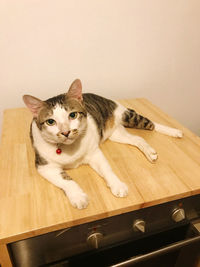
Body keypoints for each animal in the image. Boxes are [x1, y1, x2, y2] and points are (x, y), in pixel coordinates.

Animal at [23, 78, 183, 210]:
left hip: (128, 117)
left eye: (73, 115)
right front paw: (78, 197)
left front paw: (117, 185)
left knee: (151, 124)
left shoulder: (94, 152)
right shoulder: (45, 166)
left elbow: (107, 169)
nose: (66, 132)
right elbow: (66, 180)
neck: (70, 147)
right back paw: (150, 152)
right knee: (138, 139)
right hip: (116, 134)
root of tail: (107, 99)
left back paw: (174, 131)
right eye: (50, 121)